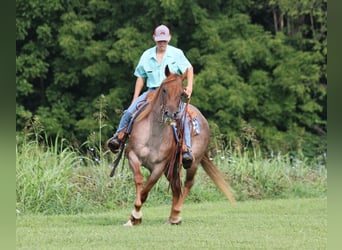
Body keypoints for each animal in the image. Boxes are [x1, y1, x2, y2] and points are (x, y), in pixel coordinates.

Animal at [111, 65, 234, 226]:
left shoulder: (159, 166)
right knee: (176, 186)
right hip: (172, 167)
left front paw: (136, 215)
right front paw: (134, 217)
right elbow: (139, 180)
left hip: (193, 162)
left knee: (188, 183)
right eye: (164, 90)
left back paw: (176, 214)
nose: (171, 113)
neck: (153, 134)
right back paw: (172, 218)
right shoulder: (133, 156)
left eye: (182, 93)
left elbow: (146, 190)